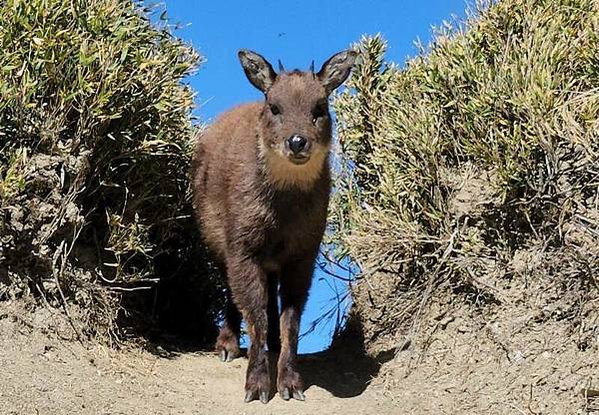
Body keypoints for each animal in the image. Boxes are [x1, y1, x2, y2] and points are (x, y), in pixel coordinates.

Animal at [195, 48, 358, 404]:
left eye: (320, 107)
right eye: (274, 106)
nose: (297, 142)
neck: (283, 213)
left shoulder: (304, 253)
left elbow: (291, 321)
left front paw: (290, 384)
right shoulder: (242, 246)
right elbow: (254, 314)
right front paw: (256, 387)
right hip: (216, 239)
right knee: (233, 292)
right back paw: (227, 344)